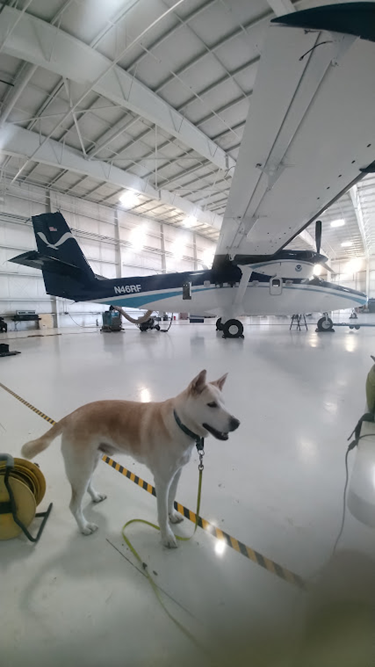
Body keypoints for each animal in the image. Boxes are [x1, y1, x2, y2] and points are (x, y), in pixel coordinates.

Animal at [22, 370, 241, 548]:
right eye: (211, 405)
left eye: (224, 404)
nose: (237, 423)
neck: (178, 423)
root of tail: (71, 415)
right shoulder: (162, 480)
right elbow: (161, 512)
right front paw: (167, 536)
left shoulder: (176, 474)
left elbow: (171, 499)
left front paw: (172, 515)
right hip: (81, 467)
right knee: (74, 505)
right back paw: (84, 527)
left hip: (89, 462)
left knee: (87, 485)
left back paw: (94, 496)